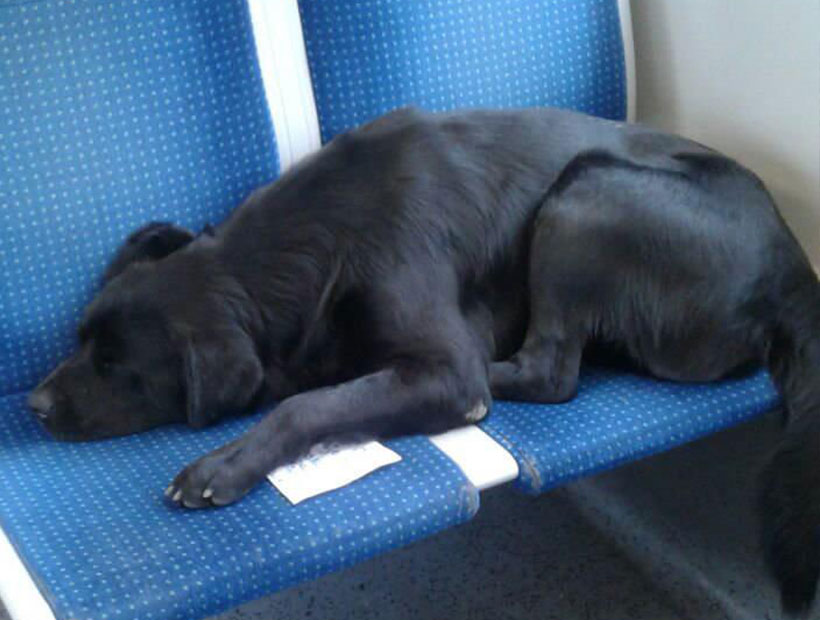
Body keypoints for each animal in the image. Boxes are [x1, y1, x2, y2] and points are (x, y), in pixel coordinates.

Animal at [25, 108, 820, 616]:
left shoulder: (446, 367)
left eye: (115, 365)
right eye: (79, 340)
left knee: (549, 373)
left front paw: (225, 463)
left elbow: (306, 405)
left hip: (588, 190)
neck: (306, 243)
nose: (33, 406)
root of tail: (794, 270)